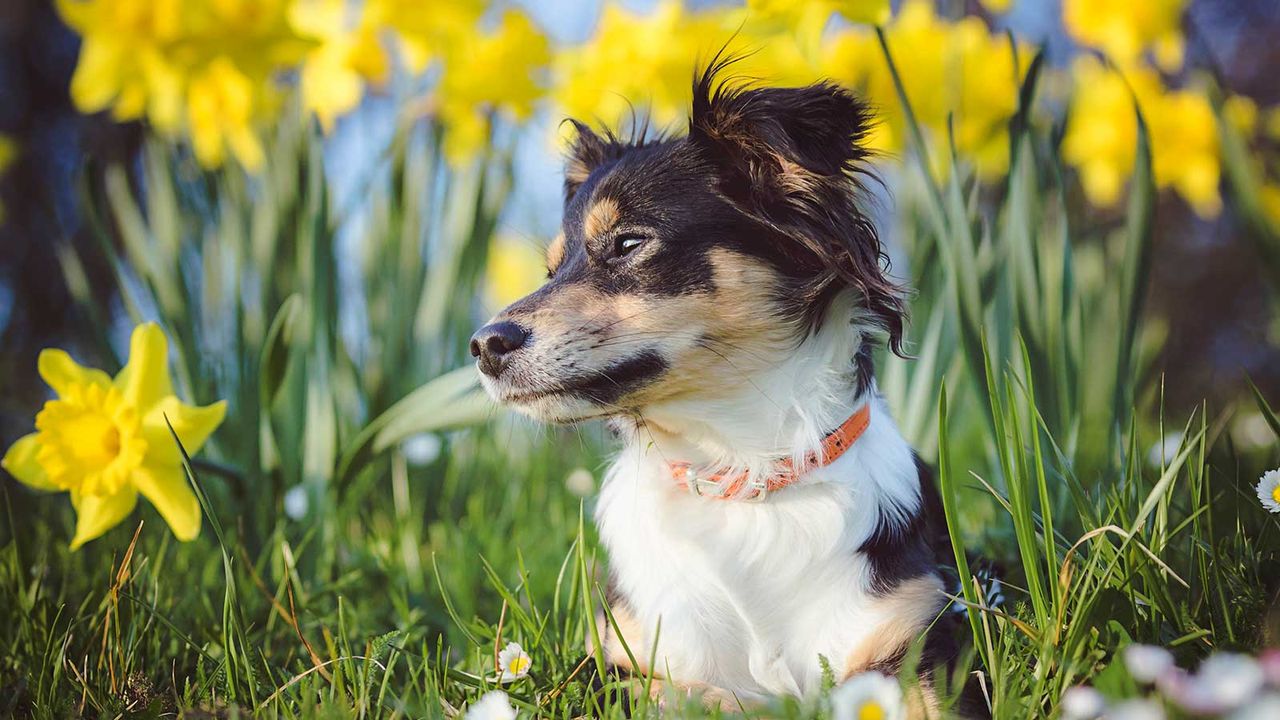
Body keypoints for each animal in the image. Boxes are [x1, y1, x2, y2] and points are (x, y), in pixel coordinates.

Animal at [471, 61, 962, 712]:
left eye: (629, 243)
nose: (483, 346)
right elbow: (690, 693)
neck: (736, 469)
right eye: (553, 270)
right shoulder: (608, 662)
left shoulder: (912, 643)